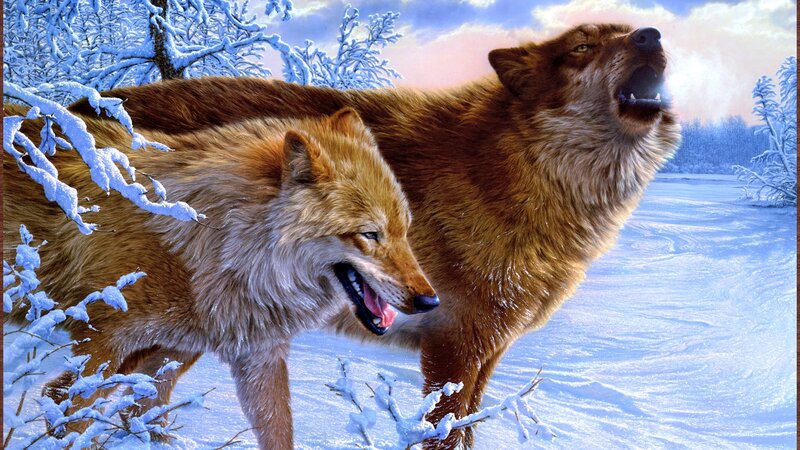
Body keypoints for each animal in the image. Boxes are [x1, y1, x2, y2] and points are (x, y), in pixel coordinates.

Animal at [3, 104, 439, 449]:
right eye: (370, 234)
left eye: (403, 230)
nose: (430, 301)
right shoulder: (101, 343)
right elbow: (65, 407)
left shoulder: (242, 355)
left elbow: (273, 429)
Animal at [69, 24, 682, 448]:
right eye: (582, 47)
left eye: (625, 30)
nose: (652, 35)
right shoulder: (455, 347)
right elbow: (443, 433)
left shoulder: (489, 350)